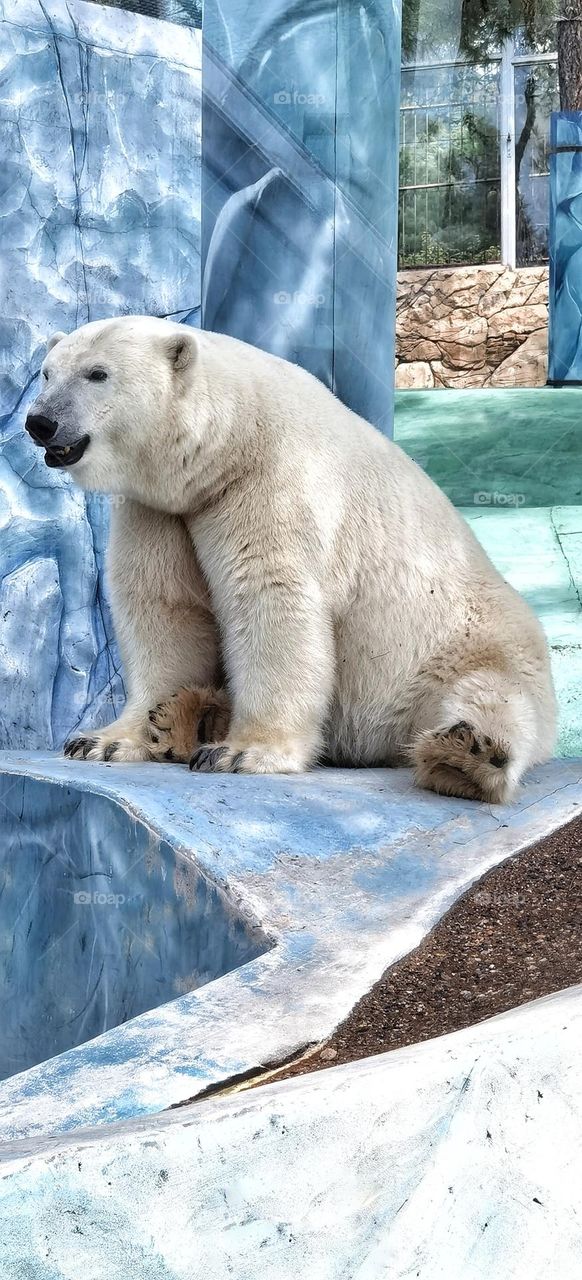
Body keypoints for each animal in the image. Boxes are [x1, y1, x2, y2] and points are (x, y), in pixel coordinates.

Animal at [24, 315, 556, 803]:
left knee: (491, 697)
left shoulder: (270, 482)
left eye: (97, 373)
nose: (39, 422)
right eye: (47, 373)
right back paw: (188, 718)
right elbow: (164, 608)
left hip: (462, 651)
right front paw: (104, 740)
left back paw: (464, 757)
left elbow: (270, 599)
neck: (229, 440)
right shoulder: (161, 510)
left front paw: (242, 752)